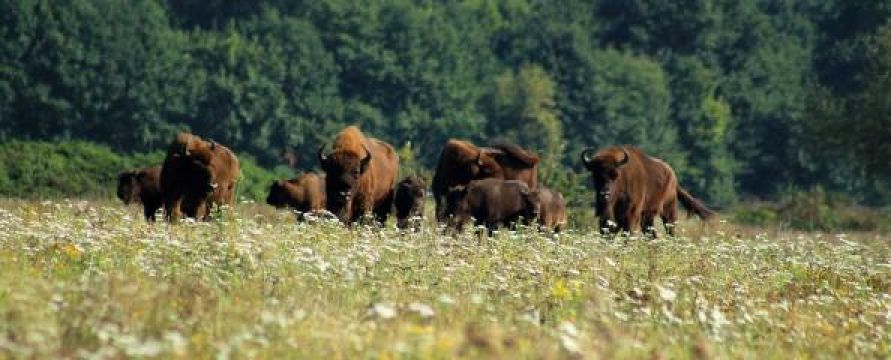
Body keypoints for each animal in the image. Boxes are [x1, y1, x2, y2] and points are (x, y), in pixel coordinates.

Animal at [580, 145, 716, 238]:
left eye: (615, 175)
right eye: (595, 175)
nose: (604, 194)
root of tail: (673, 176)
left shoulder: (631, 215)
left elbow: (627, 233)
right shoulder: (605, 217)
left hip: (669, 209)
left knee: (670, 230)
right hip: (648, 215)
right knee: (651, 234)